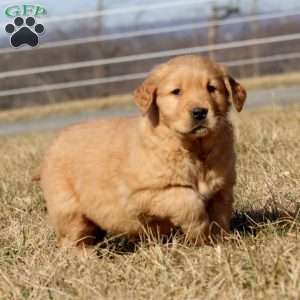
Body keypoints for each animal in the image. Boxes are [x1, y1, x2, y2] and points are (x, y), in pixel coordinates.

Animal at [39, 54, 246, 251]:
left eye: (212, 88)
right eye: (176, 91)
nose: (200, 112)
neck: (194, 149)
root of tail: (53, 143)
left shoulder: (223, 188)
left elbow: (220, 217)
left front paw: (220, 242)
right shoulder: (139, 196)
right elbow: (187, 200)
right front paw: (199, 234)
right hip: (67, 208)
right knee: (72, 240)